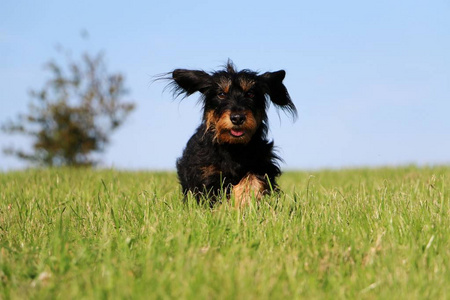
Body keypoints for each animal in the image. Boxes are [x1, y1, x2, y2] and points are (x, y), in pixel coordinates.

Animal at [165, 61, 296, 206]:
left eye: (250, 93)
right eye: (221, 94)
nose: (237, 118)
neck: (234, 147)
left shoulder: (263, 166)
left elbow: (251, 179)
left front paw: (242, 200)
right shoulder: (207, 174)